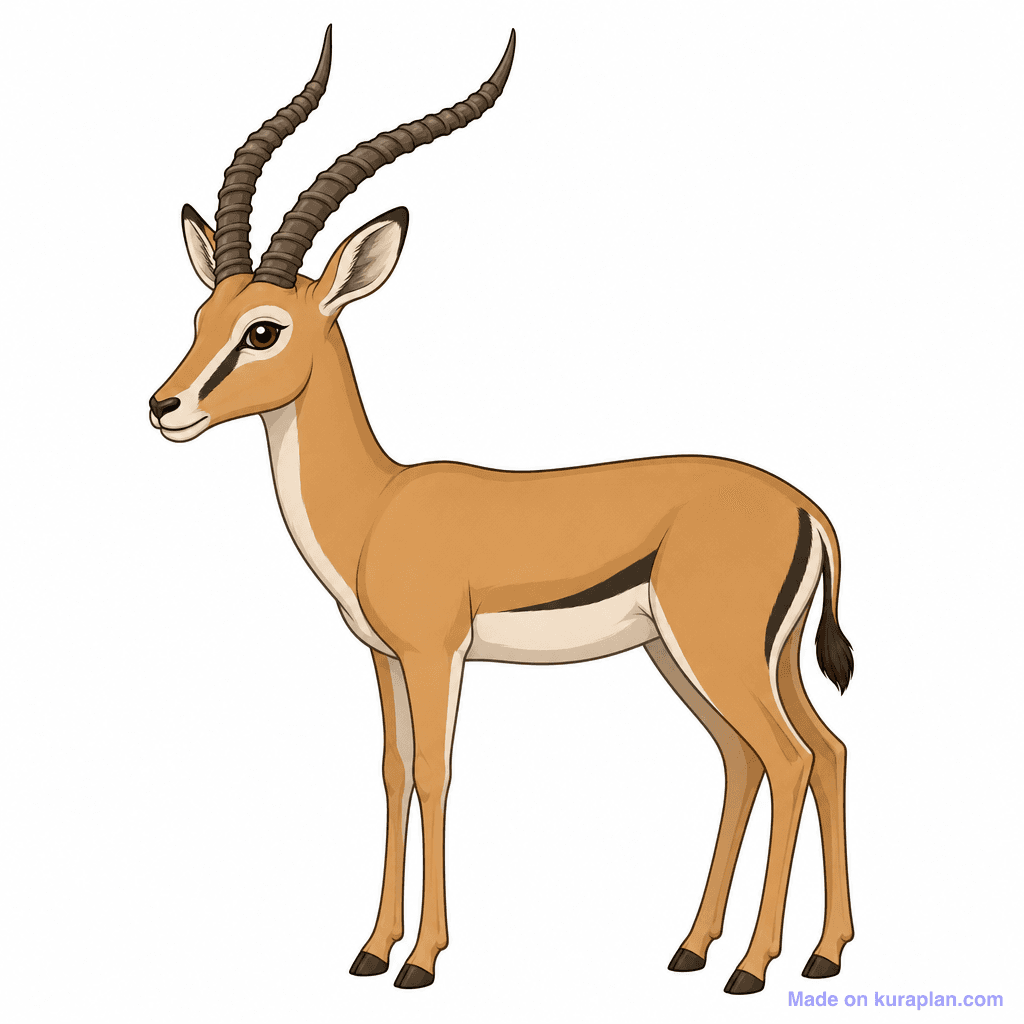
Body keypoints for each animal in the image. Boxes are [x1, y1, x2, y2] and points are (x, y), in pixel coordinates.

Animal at [150, 27, 855, 993]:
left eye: (265, 330)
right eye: (201, 316)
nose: (164, 407)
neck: (376, 504)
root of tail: (805, 504)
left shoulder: (436, 654)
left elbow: (437, 775)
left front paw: (421, 961)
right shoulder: (384, 659)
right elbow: (392, 772)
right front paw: (370, 950)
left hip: (717, 654)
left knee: (787, 759)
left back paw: (751, 967)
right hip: (716, 658)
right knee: (799, 755)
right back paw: (759, 952)